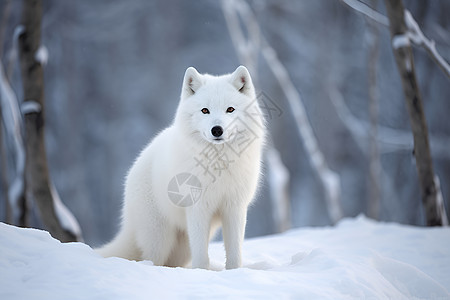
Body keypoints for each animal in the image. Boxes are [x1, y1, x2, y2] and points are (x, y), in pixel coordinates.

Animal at [98, 65, 264, 270]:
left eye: (230, 109)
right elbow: (201, 255)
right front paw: (201, 272)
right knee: (151, 260)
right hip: (160, 239)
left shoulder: (235, 208)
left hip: (182, 247)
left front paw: (234, 272)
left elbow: (234, 253)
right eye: (205, 110)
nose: (217, 130)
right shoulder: (198, 208)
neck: (218, 162)